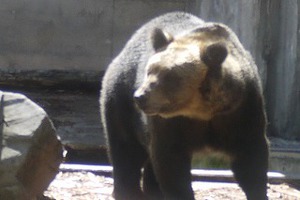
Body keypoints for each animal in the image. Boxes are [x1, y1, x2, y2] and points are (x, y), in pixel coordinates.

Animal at [100, 12, 270, 200]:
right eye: (149, 71)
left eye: (169, 77)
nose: (140, 97)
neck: (202, 111)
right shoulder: (172, 122)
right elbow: (170, 160)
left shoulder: (241, 109)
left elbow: (250, 156)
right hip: (121, 99)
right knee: (126, 148)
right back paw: (129, 191)